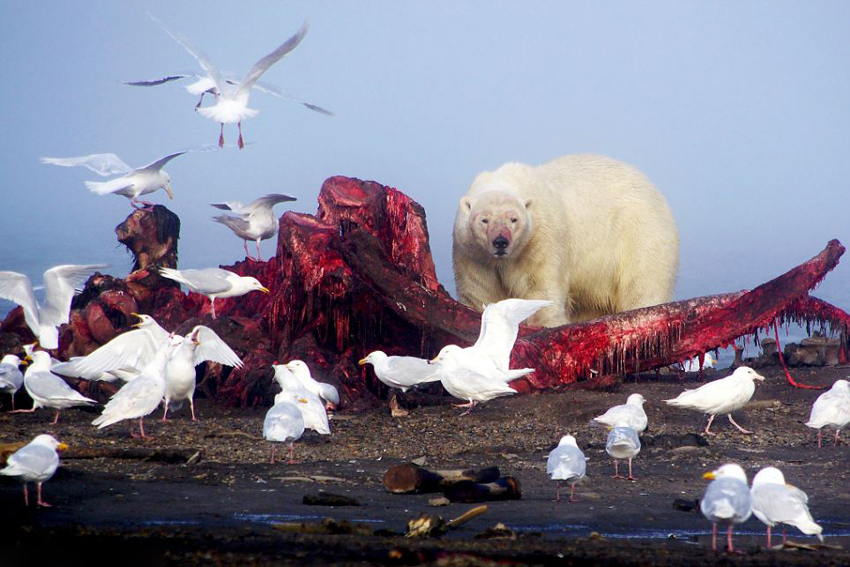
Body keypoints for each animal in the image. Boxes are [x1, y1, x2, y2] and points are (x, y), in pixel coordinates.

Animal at [454, 154, 680, 328]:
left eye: (513, 219)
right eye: (484, 219)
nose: (500, 242)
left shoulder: (542, 240)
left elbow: (540, 287)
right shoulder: (473, 254)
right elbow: (480, 291)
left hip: (640, 235)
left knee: (642, 286)